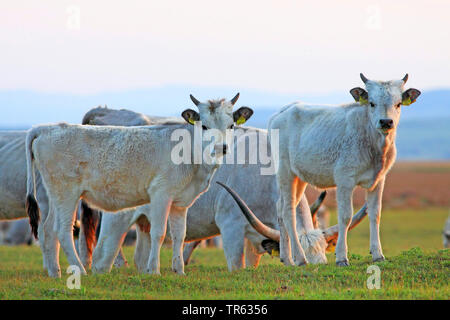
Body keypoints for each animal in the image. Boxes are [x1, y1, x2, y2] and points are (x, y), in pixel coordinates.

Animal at [26, 94, 253, 276]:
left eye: (231, 125)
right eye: (204, 125)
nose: (221, 147)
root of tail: (46, 128)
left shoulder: (181, 203)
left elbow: (180, 236)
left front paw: (179, 270)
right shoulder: (161, 194)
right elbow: (159, 232)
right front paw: (154, 270)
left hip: (56, 195)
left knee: (48, 229)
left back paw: (55, 272)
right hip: (67, 193)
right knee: (63, 229)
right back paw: (79, 270)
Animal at [266, 74, 420, 266]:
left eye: (398, 104)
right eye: (371, 103)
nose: (386, 122)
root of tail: (282, 111)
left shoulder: (378, 180)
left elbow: (375, 214)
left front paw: (378, 254)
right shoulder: (345, 180)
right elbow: (345, 217)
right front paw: (341, 258)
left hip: (299, 177)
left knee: (281, 208)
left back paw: (287, 258)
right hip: (285, 172)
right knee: (288, 211)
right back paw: (300, 258)